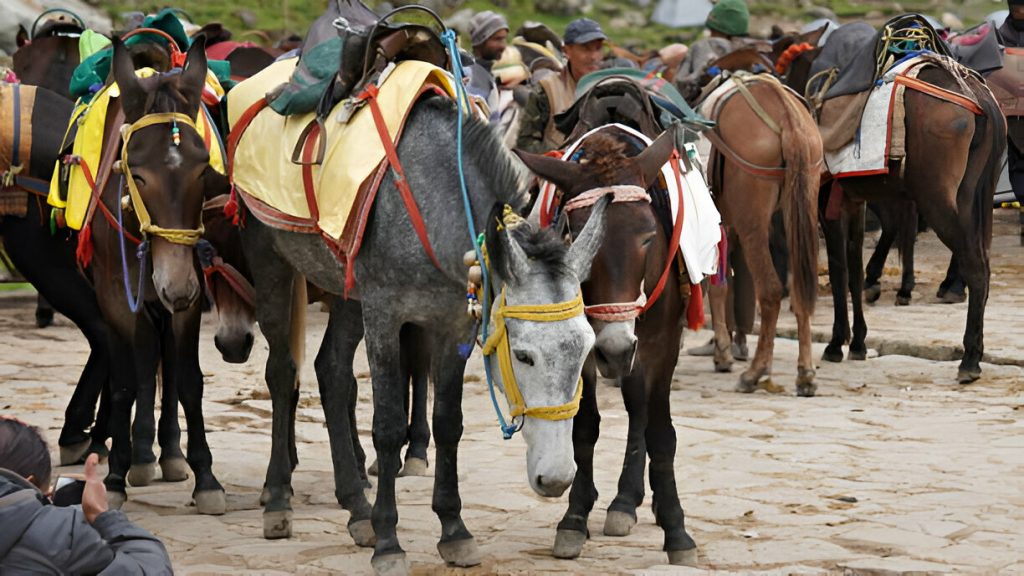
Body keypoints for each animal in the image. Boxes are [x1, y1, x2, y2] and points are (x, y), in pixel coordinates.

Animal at [520, 127, 696, 561]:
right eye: (578, 237)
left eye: (648, 238)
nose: (615, 350)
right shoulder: (581, 347)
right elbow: (583, 428)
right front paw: (574, 519)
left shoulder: (663, 344)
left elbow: (660, 432)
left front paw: (677, 530)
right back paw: (623, 502)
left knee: (640, 411)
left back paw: (631, 502)